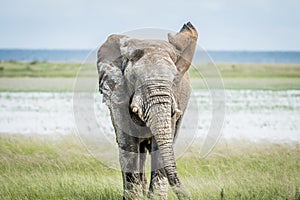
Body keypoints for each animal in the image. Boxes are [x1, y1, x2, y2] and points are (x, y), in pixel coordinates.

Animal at [97, 21, 198, 198]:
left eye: (174, 79)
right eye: (134, 78)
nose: (189, 197)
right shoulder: (118, 93)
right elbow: (128, 142)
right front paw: (134, 198)